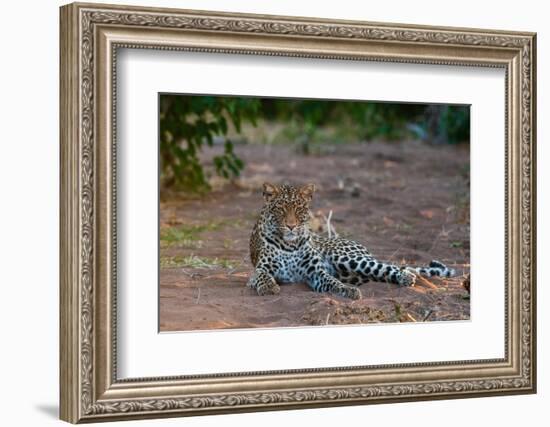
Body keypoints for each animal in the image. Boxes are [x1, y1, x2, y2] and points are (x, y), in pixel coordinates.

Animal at [249, 182, 458, 300]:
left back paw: (406, 277)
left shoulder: (316, 272)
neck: (289, 245)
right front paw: (268, 287)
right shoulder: (261, 268)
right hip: (356, 273)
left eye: (299, 209)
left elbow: (332, 282)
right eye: (280, 209)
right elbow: (261, 275)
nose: (291, 226)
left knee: (388, 267)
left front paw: (349, 292)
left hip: (349, 259)